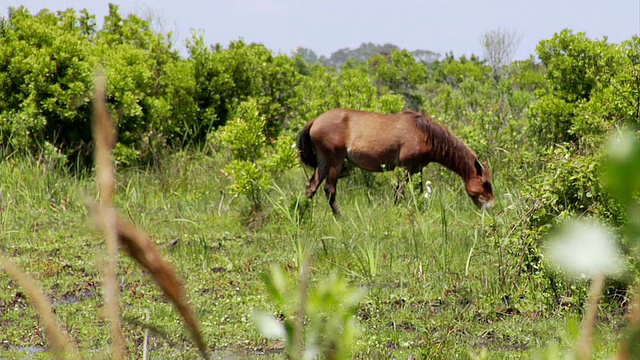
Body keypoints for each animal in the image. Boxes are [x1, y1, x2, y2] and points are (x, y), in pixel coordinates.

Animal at [296, 108, 496, 217]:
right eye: (486, 183)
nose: (491, 206)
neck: (424, 134)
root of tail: (315, 121)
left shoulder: (417, 169)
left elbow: (419, 193)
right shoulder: (405, 168)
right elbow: (399, 194)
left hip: (323, 164)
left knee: (311, 187)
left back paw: (302, 213)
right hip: (334, 163)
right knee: (329, 190)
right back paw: (339, 218)